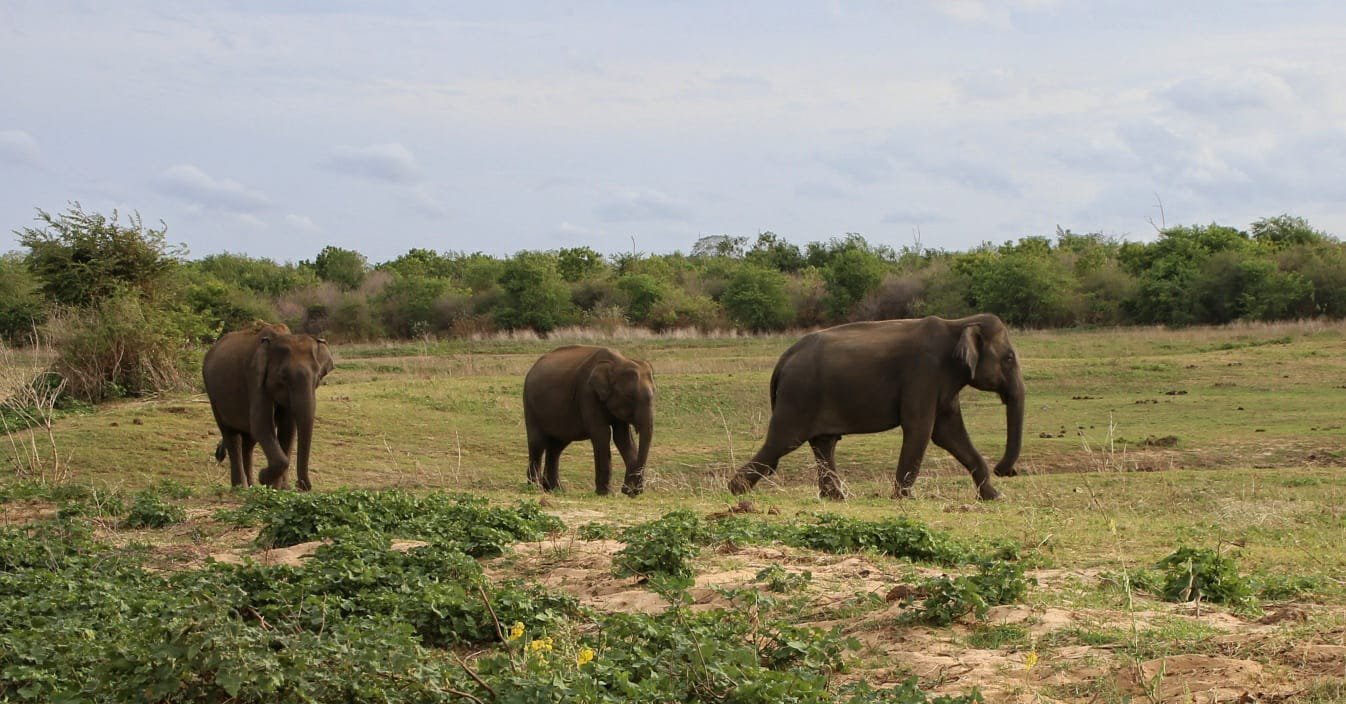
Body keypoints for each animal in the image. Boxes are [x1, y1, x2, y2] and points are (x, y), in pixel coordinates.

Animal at [203, 322, 334, 491]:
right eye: (283, 377)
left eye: (318, 377)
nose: (301, 485)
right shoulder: (254, 378)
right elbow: (262, 424)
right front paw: (264, 478)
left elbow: (288, 429)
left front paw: (279, 488)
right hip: (212, 393)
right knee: (232, 436)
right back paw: (240, 488)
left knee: (249, 441)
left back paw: (251, 486)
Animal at [523, 345, 655, 496]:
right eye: (629, 396)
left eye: (654, 395)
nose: (630, 490)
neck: (618, 362)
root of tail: (533, 367)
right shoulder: (587, 393)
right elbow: (602, 434)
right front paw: (606, 493)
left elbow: (623, 438)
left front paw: (629, 491)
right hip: (530, 403)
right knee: (537, 443)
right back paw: (535, 488)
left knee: (557, 446)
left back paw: (556, 489)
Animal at [727, 314, 1024, 501]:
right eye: (1009, 358)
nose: (1005, 470)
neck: (960, 324)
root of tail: (784, 358)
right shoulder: (924, 373)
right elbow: (921, 429)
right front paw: (903, 498)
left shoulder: (942, 383)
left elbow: (949, 433)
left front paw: (995, 497)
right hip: (798, 395)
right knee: (783, 441)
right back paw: (736, 489)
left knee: (822, 443)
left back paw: (835, 497)